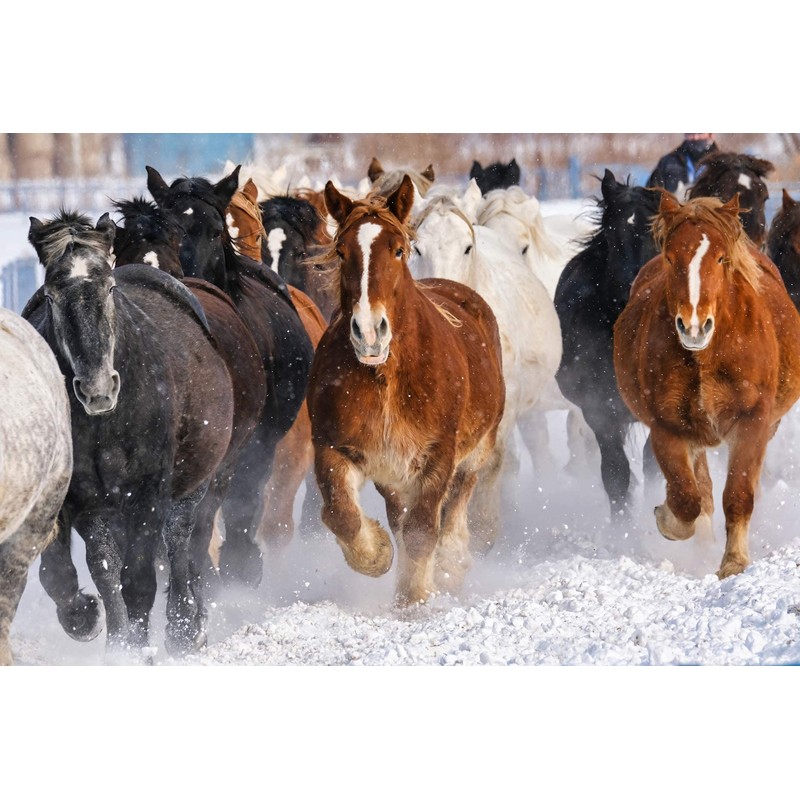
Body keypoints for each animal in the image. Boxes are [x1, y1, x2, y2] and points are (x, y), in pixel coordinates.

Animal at [22, 210, 245, 658]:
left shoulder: (147, 492)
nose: (97, 389)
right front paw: (102, 632)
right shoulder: (84, 501)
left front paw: (139, 650)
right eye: (51, 296)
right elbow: (92, 573)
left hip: (194, 483)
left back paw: (185, 627)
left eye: (108, 287)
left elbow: (139, 580)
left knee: (181, 542)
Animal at [308, 175, 505, 605]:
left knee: (458, 500)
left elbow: (421, 530)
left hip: (476, 449)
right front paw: (377, 553)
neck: (386, 380)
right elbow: (341, 515)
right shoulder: (334, 448)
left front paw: (415, 598)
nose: (369, 332)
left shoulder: (437, 456)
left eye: (399, 250)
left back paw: (451, 560)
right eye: (342, 252)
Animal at [614, 193, 800, 578]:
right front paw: (668, 519)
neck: (707, 356)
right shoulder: (668, 427)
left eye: (720, 258)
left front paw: (734, 562)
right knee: (700, 488)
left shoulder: (752, 422)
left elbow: (739, 494)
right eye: (671, 257)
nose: (694, 326)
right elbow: (687, 498)